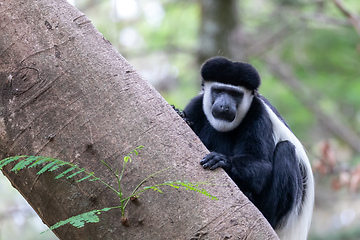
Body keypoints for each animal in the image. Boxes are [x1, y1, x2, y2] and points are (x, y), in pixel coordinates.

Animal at [184, 56, 314, 240]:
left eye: (235, 94)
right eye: (219, 91)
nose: (224, 106)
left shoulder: (258, 116)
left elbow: (261, 163)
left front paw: (222, 160)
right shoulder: (196, 106)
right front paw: (181, 116)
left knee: (286, 150)